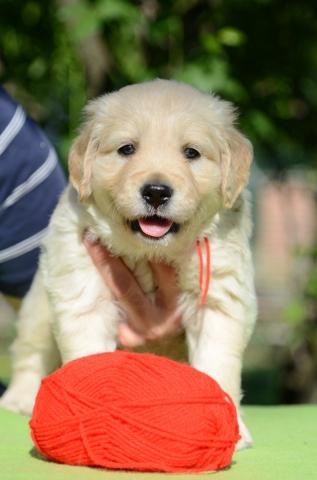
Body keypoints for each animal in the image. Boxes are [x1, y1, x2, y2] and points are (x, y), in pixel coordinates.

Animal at [1, 79, 256, 446]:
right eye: (127, 149)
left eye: (191, 153)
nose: (156, 192)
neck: (150, 253)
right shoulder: (83, 288)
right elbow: (88, 358)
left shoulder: (218, 294)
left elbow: (218, 363)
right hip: (39, 307)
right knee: (30, 351)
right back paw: (21, 397)